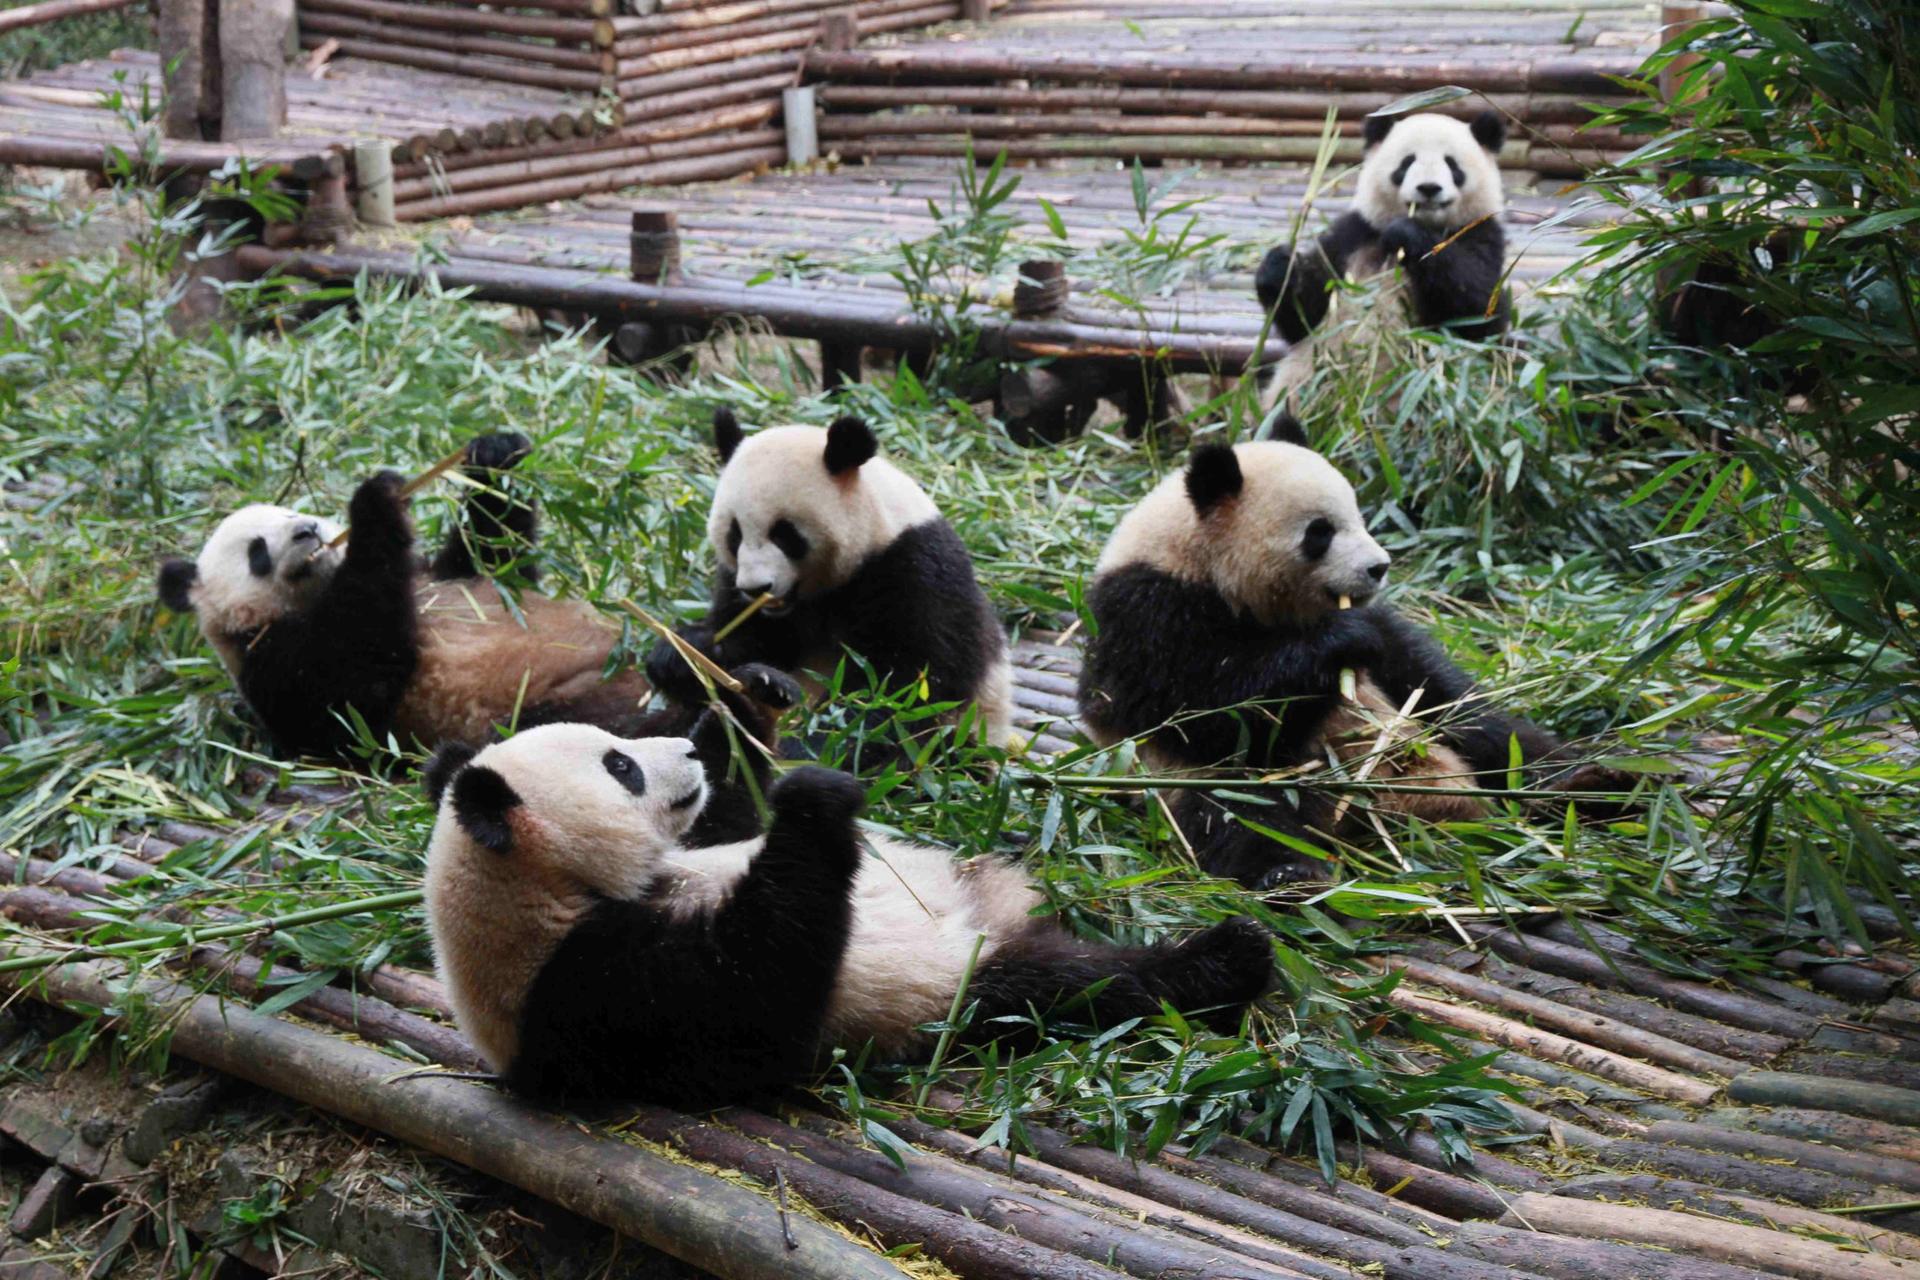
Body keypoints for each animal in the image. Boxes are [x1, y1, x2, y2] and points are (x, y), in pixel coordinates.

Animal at [156, 432, 796, 789]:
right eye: (256, 551)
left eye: (293, 510)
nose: (308, 532)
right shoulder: (279, 666)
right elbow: (359, 676)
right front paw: (375, 501)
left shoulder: (443, 577)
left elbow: (494, 558)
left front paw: (492, 454)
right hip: (550, 707)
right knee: (611, 731)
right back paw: (730, 720)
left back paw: (740, 677)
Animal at [422, 719, 1272, 1106]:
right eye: (621, 766)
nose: (689, 753)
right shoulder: (588, 991)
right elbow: (756, 994)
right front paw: (814, 799)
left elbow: (732, 826)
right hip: (962, 986)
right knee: (1077, 984)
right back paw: (1231, 956)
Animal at [645, 410, 1014, 751]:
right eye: (735, 534)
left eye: (784, 534)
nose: (756, 588)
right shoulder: (740, 587)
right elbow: (747, 639)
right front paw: (682, 653)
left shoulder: (915, 570)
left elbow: (900, 688)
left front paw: (814, 744)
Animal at [1077, 440, 1625, 888]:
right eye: (1320, 532)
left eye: (1360, 517)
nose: (1378, 567)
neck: (1194, 556)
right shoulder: (1147, 613)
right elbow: (1204, 712)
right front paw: (1338, 645)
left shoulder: (1387, 632)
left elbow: (1431, 683)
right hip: (1186, 783)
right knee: (1239, 812)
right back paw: (1293, 876)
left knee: (1505, 741)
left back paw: (1592, 786)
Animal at [1256, 110, 1511, 416]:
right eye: (1407, 162)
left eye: (1452, 164)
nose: (1428, 188)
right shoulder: (1353, 238)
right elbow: (1306, 315)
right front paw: (1279, 266)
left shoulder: (1480, 235)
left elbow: (1479, 310)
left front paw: (1406, 233)